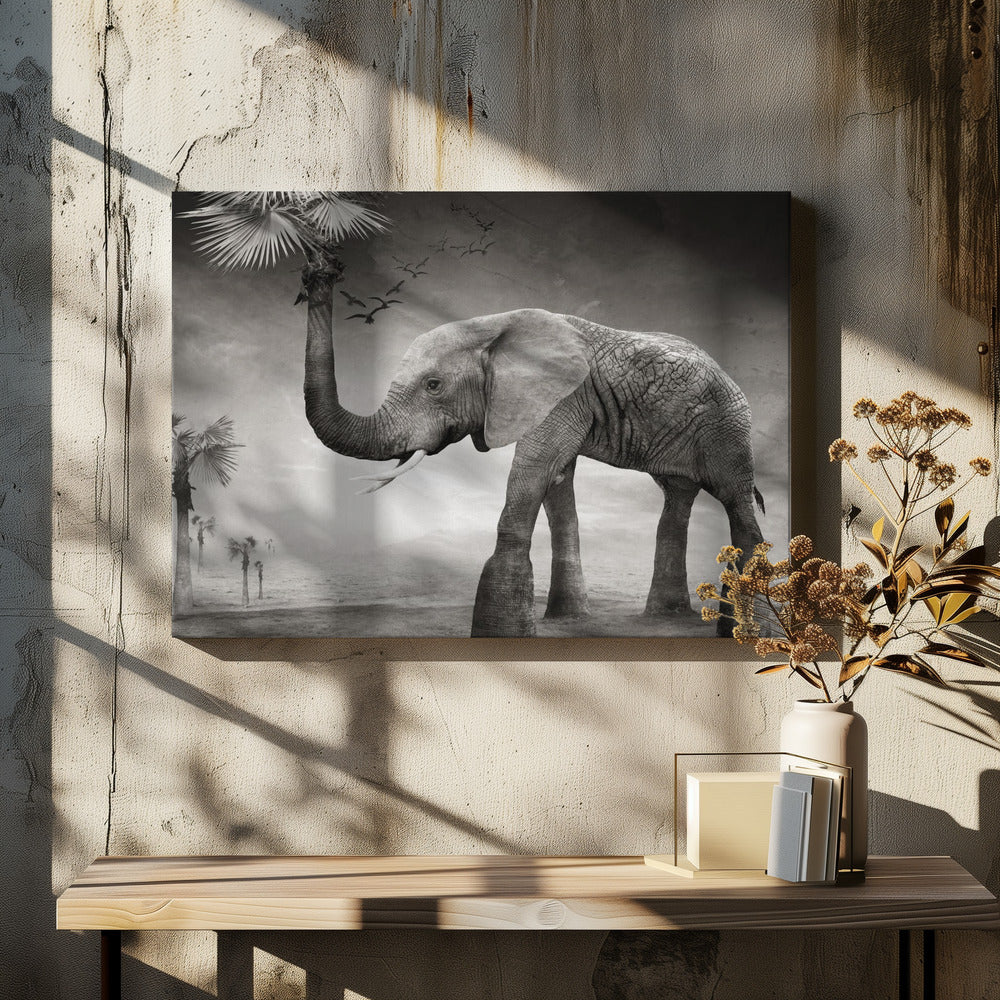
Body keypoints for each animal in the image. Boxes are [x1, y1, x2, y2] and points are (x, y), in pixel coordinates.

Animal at [304, 303, 765, 637]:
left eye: (433, 386)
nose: (319, 275)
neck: (492, 326)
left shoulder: (563, 398)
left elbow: (535, 469)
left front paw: (500, 634)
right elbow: (557, 481)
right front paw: (564, 621)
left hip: (727, 427)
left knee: (735, 501)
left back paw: (739, 631)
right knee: (678, 500)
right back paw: (668, 619)